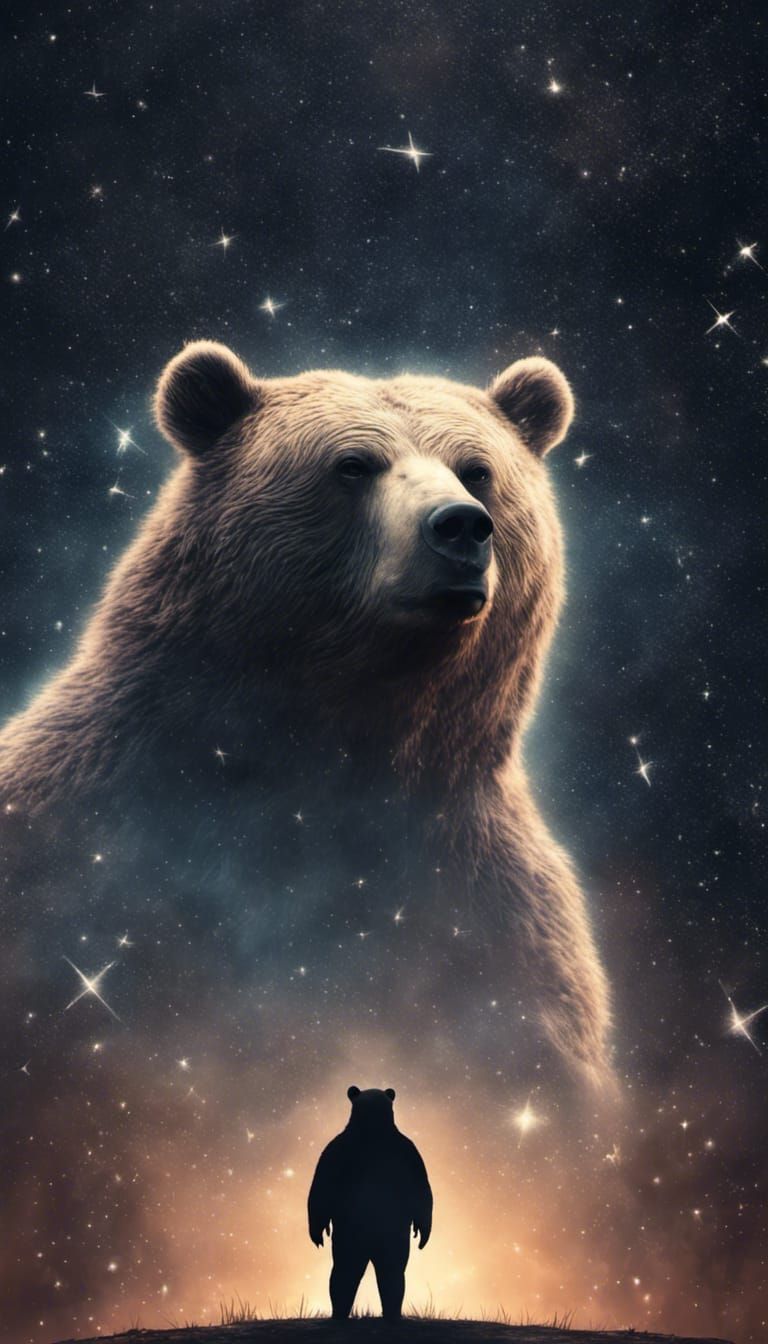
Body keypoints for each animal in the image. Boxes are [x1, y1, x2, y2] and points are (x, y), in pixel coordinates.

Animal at [308, 1085, 433, 1319]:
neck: (372, 1130)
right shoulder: (337, 1150)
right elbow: (320, 1188)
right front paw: (318, 1235)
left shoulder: (408, 1152)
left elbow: (422, 1191)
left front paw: (422, 1235)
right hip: (353, 1231)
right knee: (349, 1269)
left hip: (382, 1231)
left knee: (384, 1269)